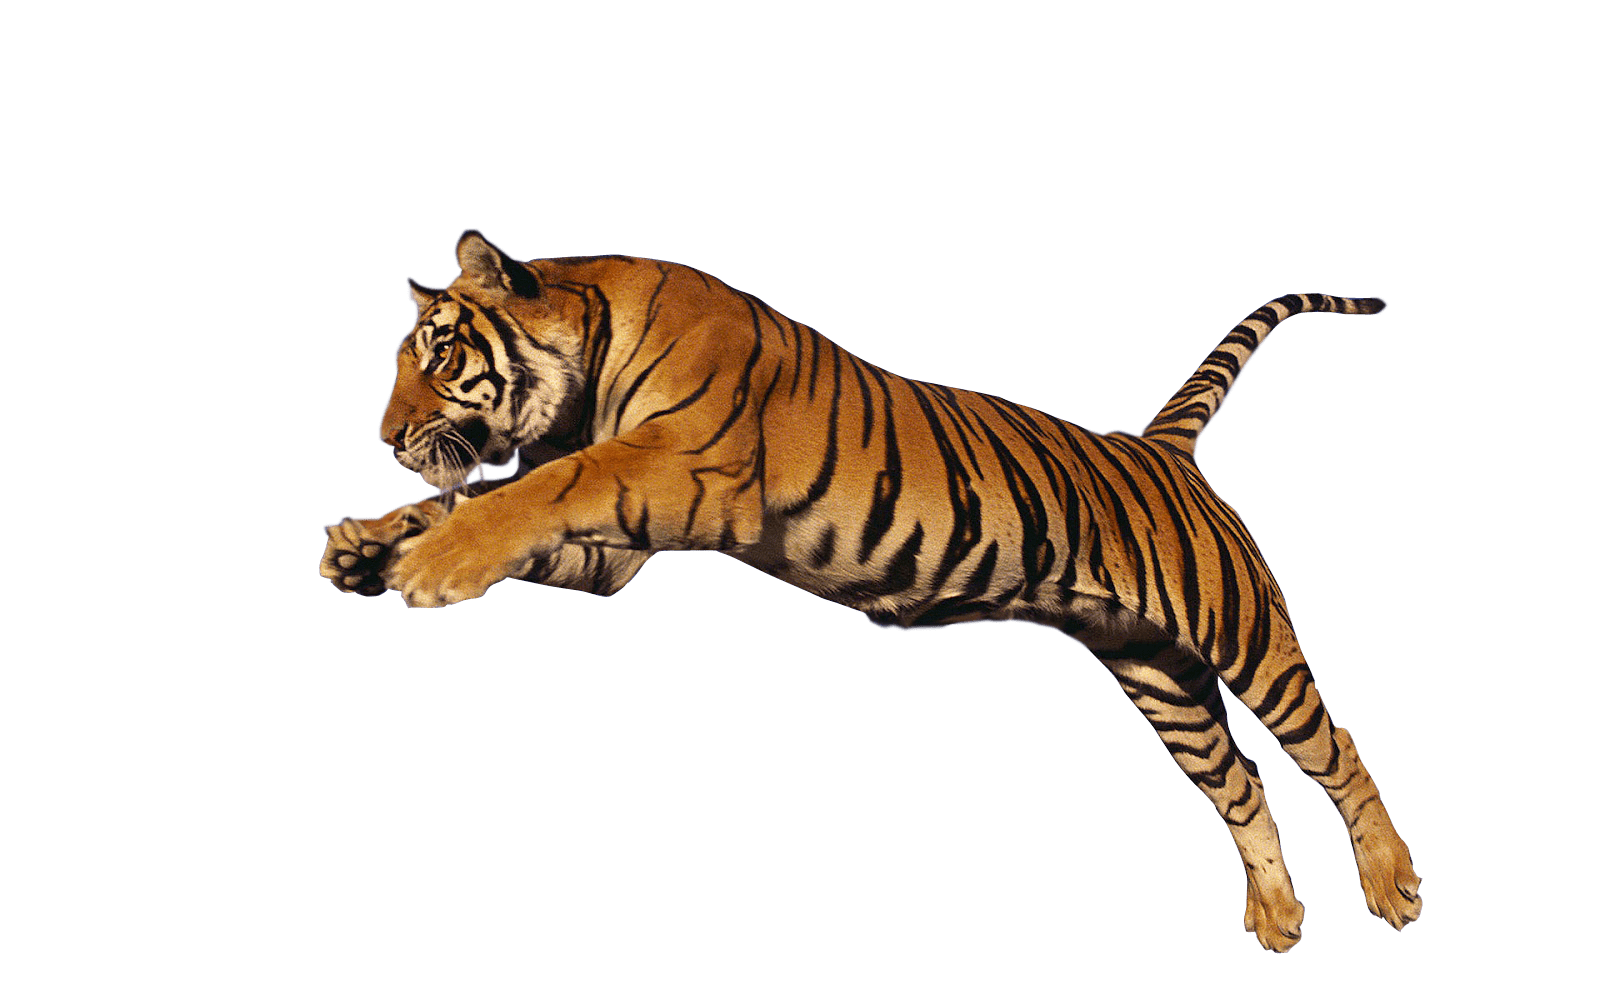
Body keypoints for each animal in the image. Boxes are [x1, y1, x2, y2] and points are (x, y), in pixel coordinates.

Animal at [320, 230, 1422, 951]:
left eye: (442, 355)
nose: (386, 435)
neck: (587, 369)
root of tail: (1160, 446)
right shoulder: (617, 547)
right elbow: (480, 499)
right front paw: (366, 546)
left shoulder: (680, 471)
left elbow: (531, 489)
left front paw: (429, 566)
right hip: (1156, 672)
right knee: (1239, 779)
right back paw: (1277, 916)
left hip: (1243, 633)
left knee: (1333, 744)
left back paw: (1393, 883)